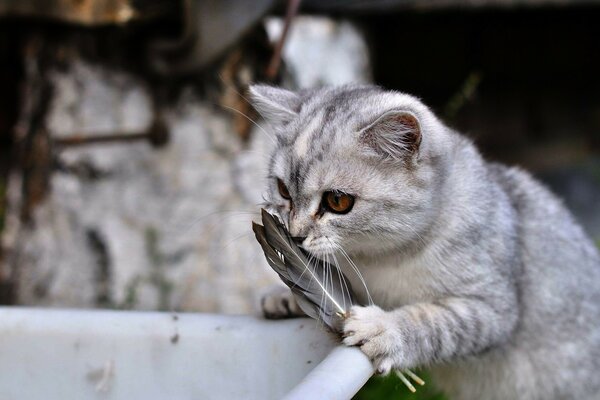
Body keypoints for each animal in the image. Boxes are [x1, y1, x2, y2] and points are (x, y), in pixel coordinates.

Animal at [248, 84, 600, 400]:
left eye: (337, 201)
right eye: (283, 190)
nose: (294, 235)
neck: (378, 259)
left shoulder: (492, 308)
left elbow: (433, 322)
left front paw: (385, 329)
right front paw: (285, 295)